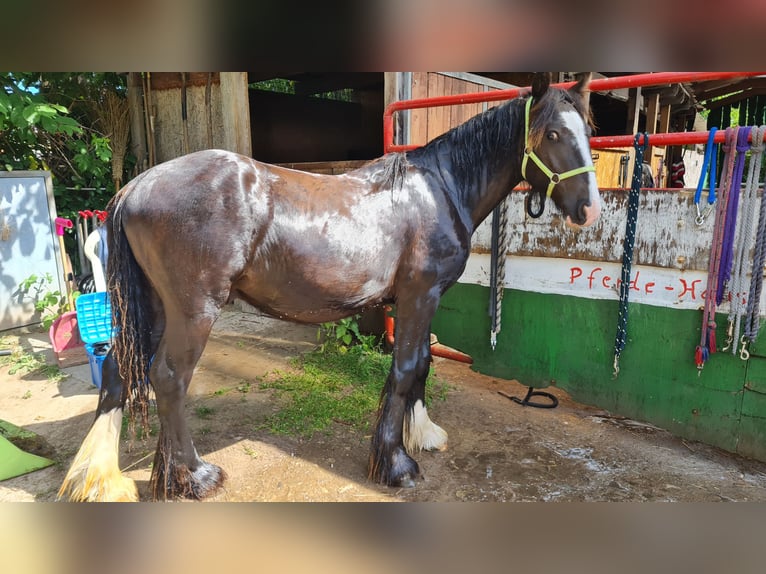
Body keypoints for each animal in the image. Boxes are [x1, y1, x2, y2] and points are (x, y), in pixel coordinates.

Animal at [58, 72, 601, 501]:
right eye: (552, 132)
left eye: (589, 132)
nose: (589, 210)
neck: (439, 190)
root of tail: (136, 186)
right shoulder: (418, 296)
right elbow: (406, 369)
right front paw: (397, 465)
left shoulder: (422, 301)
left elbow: (423, 363)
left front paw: (422, 434)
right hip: (194, 311)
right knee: (168, 378)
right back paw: (195, 476)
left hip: (151, 307)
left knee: (117, 373)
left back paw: (103, 479)